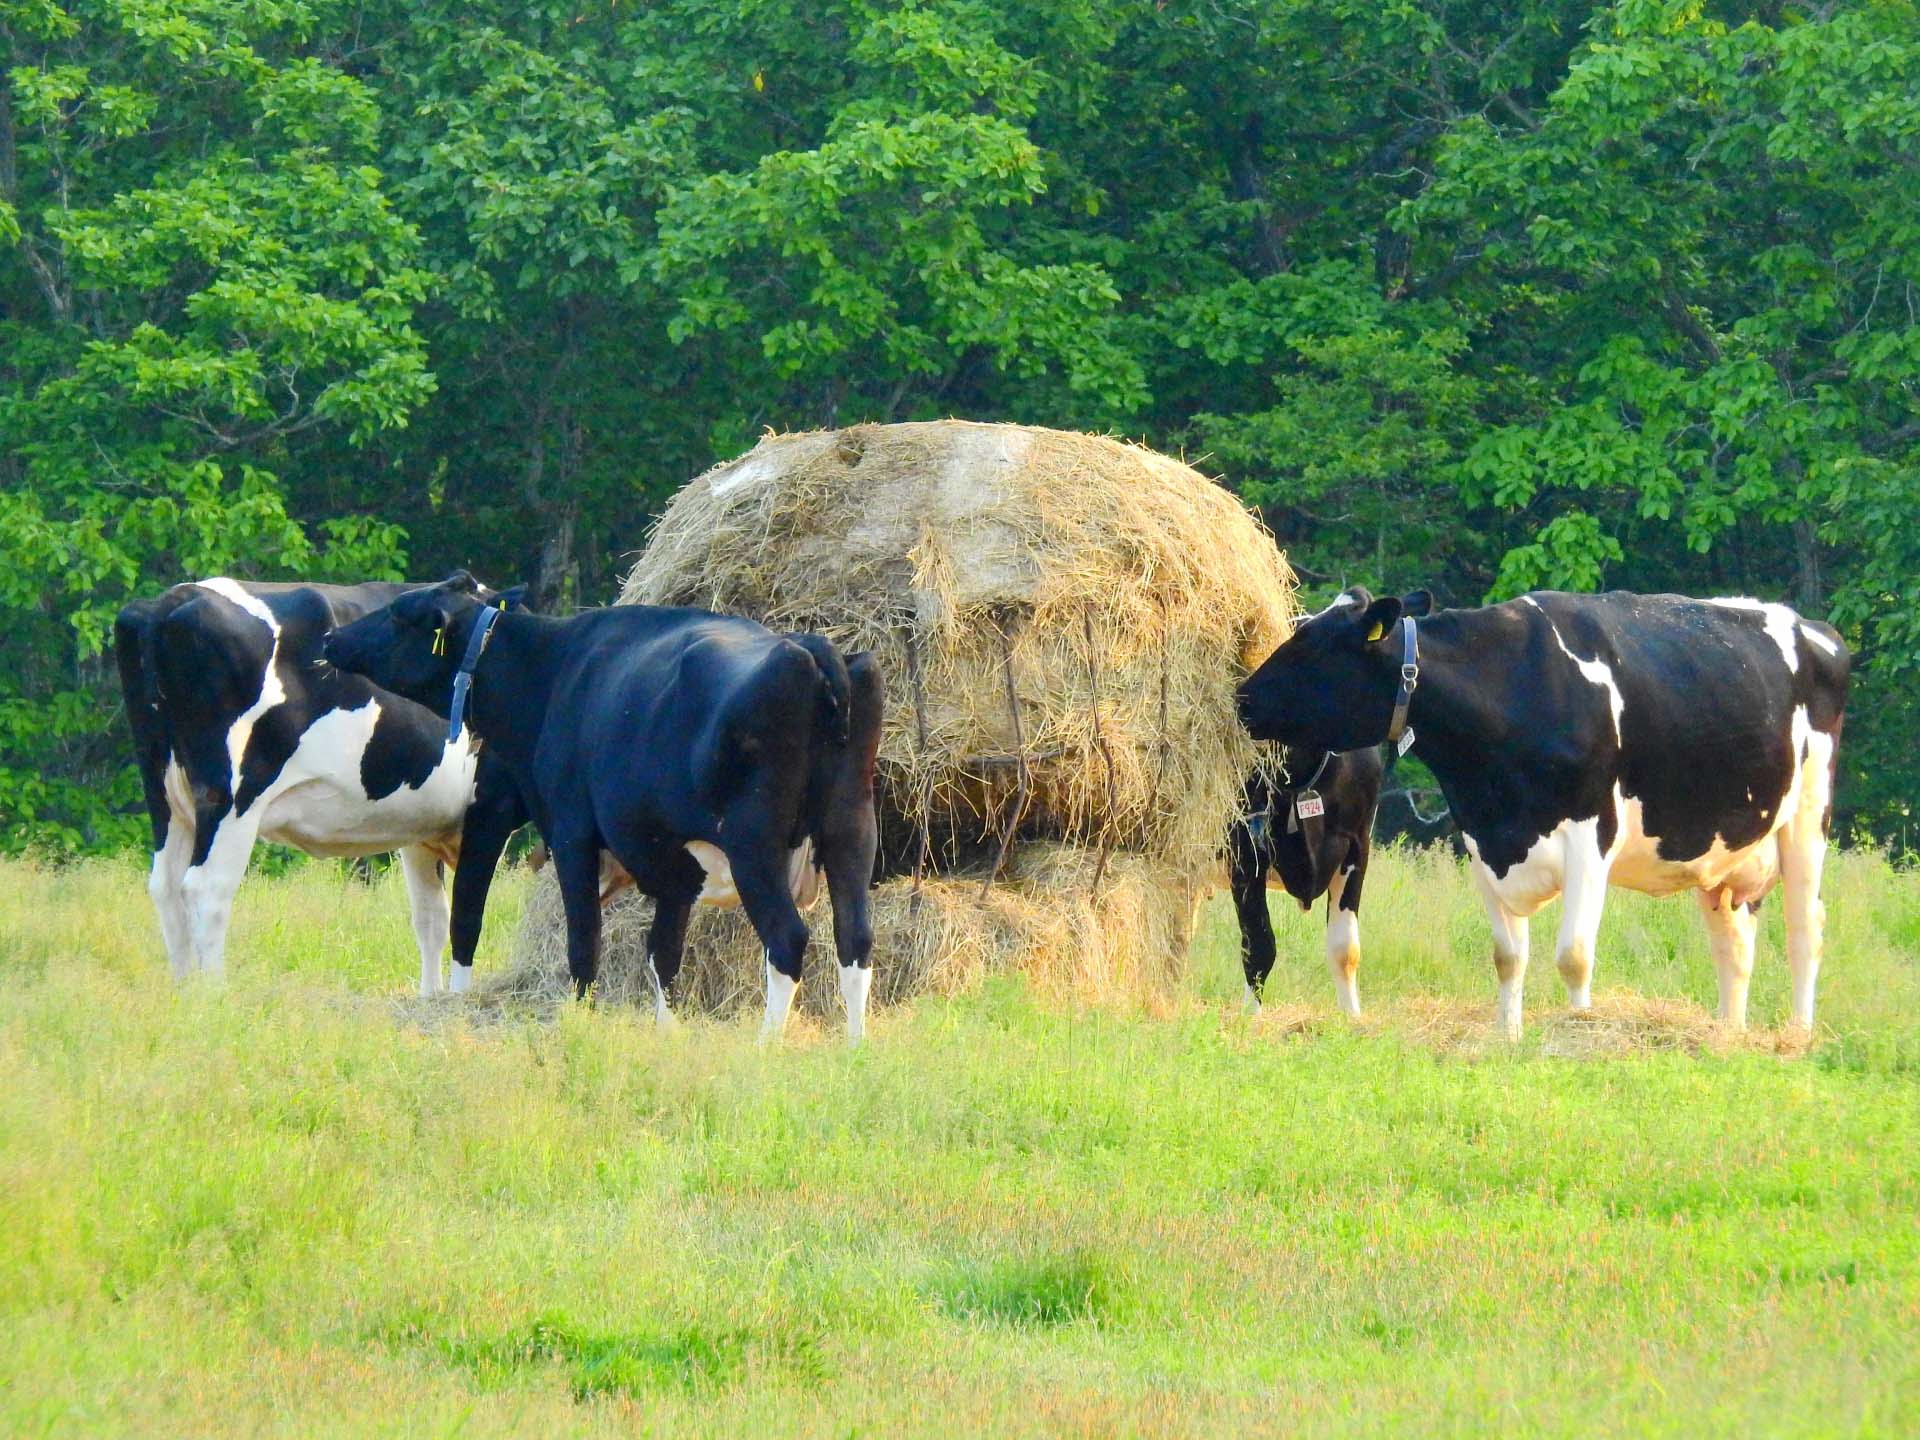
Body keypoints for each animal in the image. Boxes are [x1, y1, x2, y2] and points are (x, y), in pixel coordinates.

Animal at [115, 576, 522, 990]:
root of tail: (173, 600)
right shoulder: (491, 809)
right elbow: (466, 921)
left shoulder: (422, 823)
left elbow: (431, 920)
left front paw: (432, 998)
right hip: (231, 797)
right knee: (205, 889)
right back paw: (213, 995)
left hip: (163, 791)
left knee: (165, 887)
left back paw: (183, 992)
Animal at [1228, 748, 1382, 1021]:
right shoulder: (1244, 846)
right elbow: (1259, 945)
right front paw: (1249, 1017)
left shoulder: (1359, 842)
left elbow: (1345, 949)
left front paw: (1352, 1017)